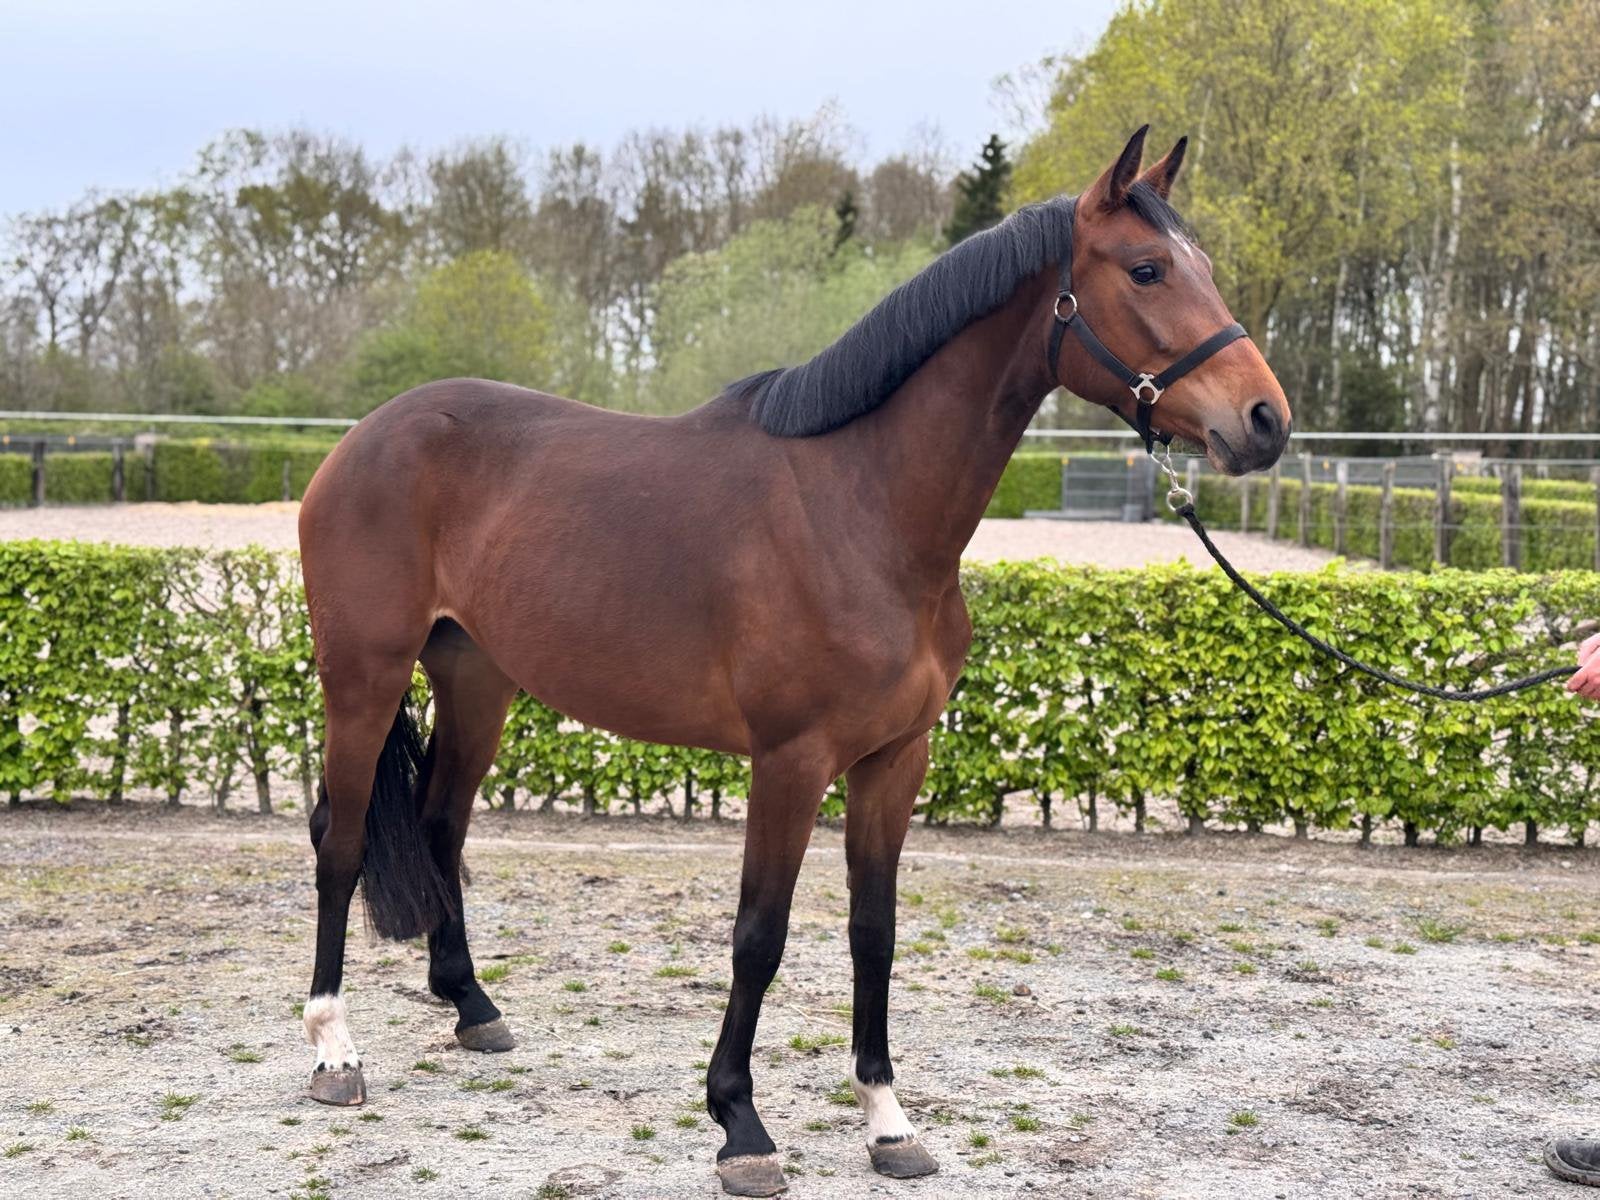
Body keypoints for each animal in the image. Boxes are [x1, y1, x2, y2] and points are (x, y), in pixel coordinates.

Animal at [294, 125, 1291, 1197]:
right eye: (1147, 270)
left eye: (1203, 266)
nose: (1264, 420)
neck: (863, 510)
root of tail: (364, 439)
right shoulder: (790, 762)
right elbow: (758, 936)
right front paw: (741, 1126)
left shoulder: (896, 760)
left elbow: (873, 932)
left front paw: (888, 1122)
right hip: (363, 678)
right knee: (340, 841)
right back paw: (334, 1051)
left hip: (479, 679)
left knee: (440, 826)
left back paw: (472, 1007)